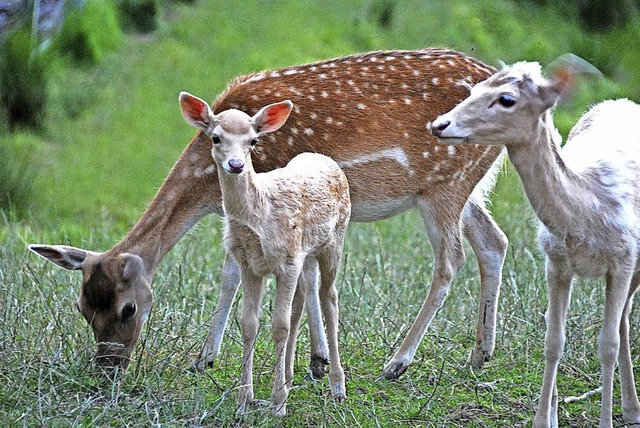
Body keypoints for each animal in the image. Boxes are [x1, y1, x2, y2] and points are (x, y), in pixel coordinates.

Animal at [30, 48, 508, 380]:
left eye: (128, 309)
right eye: (82, 308)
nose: (107, 369)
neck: (210, 186)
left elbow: (280, 277)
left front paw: (302, 364)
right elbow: (241, 274)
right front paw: (216, 358)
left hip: (444, 184)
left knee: (450, 261)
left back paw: (398, 361)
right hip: (464, 186)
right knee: (494, 242)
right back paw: (480, 354)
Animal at [179, 92, 350, 416]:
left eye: (253, 141)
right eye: (216, 137)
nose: (236, 164)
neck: (260, 212)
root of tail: (326, 159)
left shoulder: (288, 259)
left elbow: (279, 326)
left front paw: (278, 404)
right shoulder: (249, 264)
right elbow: (249, 323)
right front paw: (245, 399)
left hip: (335, 239)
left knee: (329, 297)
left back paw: (337, 386)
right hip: (307, 253)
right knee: (303, 297)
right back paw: (291, 375)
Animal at [430, 55, 640, 426]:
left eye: (506, 99)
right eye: (474, 89)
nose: (440, 124)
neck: (586, 212)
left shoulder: (624, 259)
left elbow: (607, 344)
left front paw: (604, 421)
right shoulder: (555, 260)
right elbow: (553, 340)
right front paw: (544, 419)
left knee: (622, 323)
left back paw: (630, 409)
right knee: (626, 318)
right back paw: (631, 409)